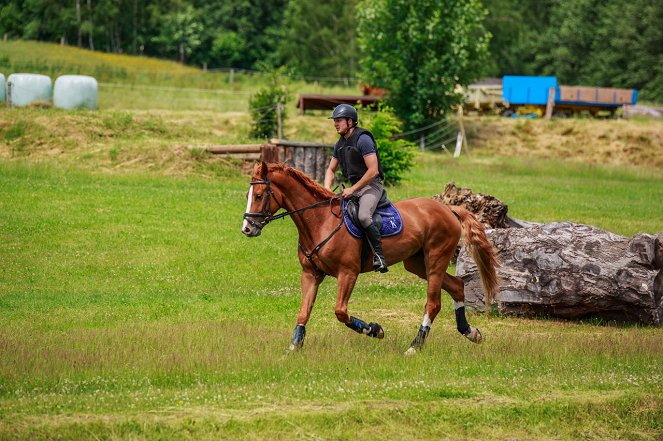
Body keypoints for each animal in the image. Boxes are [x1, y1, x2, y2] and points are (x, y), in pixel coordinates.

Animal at [243, 162, 498, 354]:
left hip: (435, 258)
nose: (247, 229)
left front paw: (375, 329)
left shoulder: (348, 273)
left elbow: (341, 311)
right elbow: (304, 311)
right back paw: (471, 333)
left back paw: (415, 346)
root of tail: (448, 209)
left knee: (433, 303)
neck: (320, 221)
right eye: (248, 194)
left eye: (259, 195)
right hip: (417, 264)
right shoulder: (311, 273)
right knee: (456, 286)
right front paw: (294, 347)